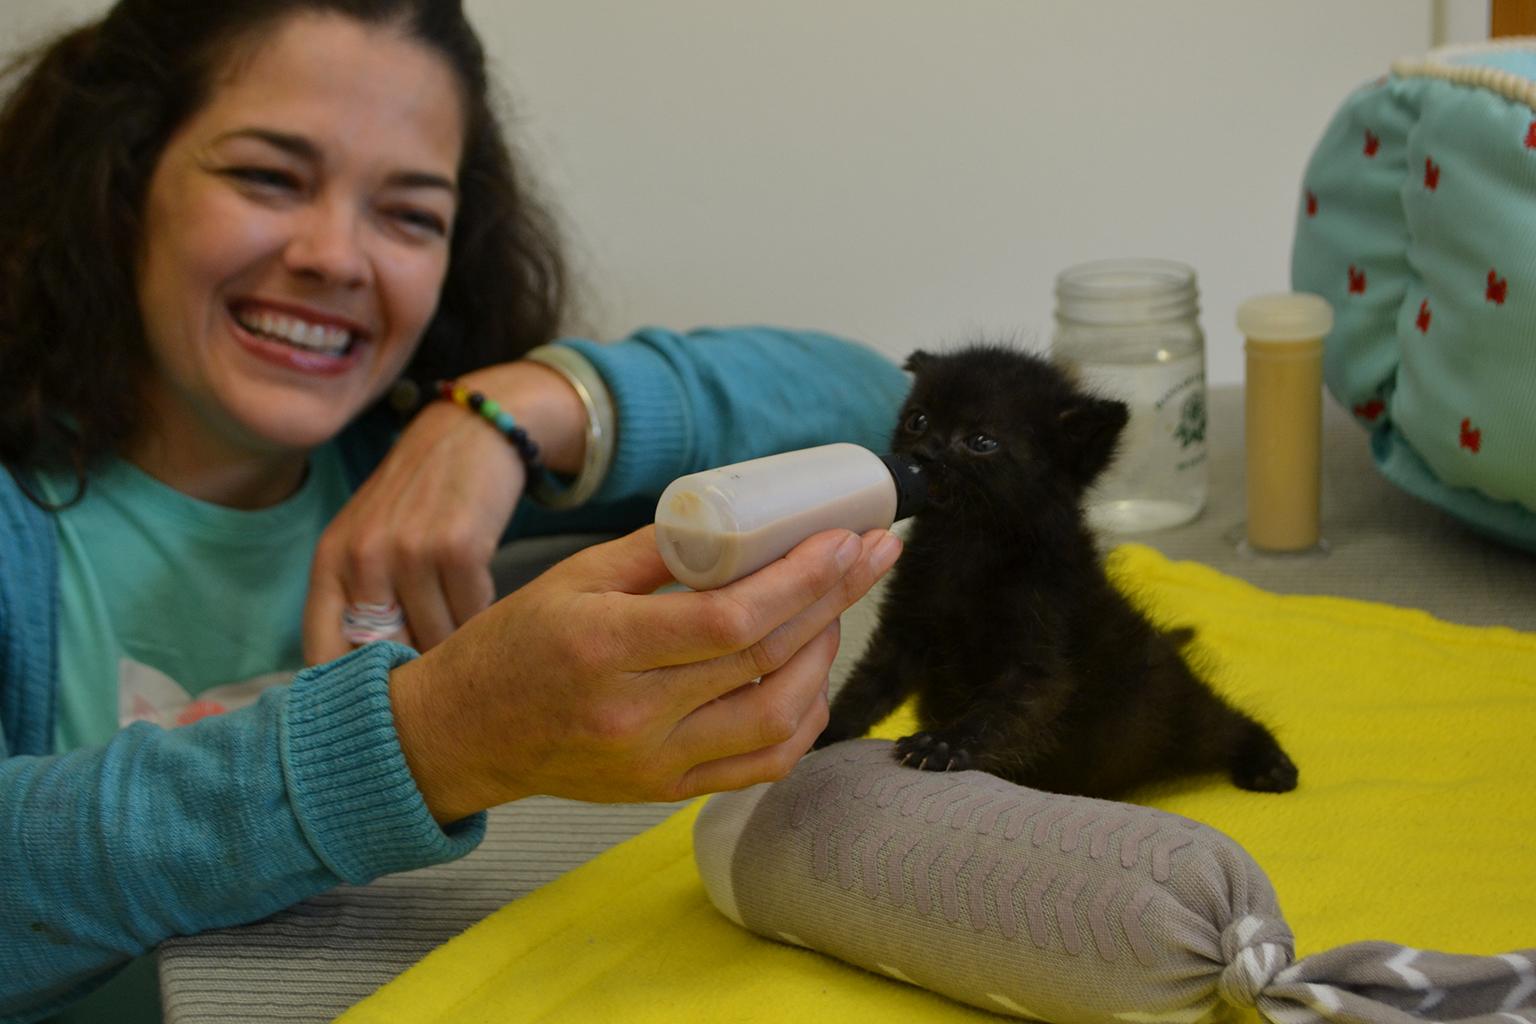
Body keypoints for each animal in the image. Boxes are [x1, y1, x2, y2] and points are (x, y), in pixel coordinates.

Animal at [811, 343, 1302, 798]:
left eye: (981, 442)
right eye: (918, 419)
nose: (925, 453)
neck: (968, 543)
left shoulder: (1042, 648)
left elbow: (1004, 709)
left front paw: (945, 744)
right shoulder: (905, 628)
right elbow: (868, 684)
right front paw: (828, 730)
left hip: (1174, 710)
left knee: (1225, 723)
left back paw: (1267, 762)